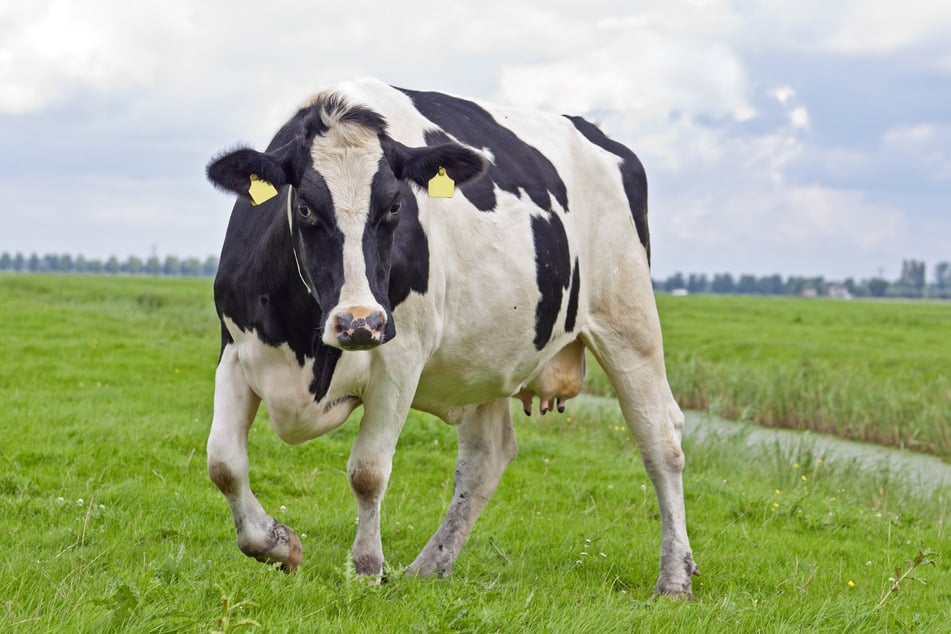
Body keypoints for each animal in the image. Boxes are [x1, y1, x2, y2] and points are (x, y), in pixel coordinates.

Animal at [206, 76, 700, 596]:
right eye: (304, 207)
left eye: (395, 206)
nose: (360, 322)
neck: (306, 343)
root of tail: (600, 134)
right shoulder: (234, 350)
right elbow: (223, 463)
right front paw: (278, 545)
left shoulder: (400, 358)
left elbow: (367, 472)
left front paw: (366, 568)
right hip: (485, 358)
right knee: (487, 458)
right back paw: (429, 566)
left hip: (629, 321)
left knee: (661, 440)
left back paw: (674, 579)